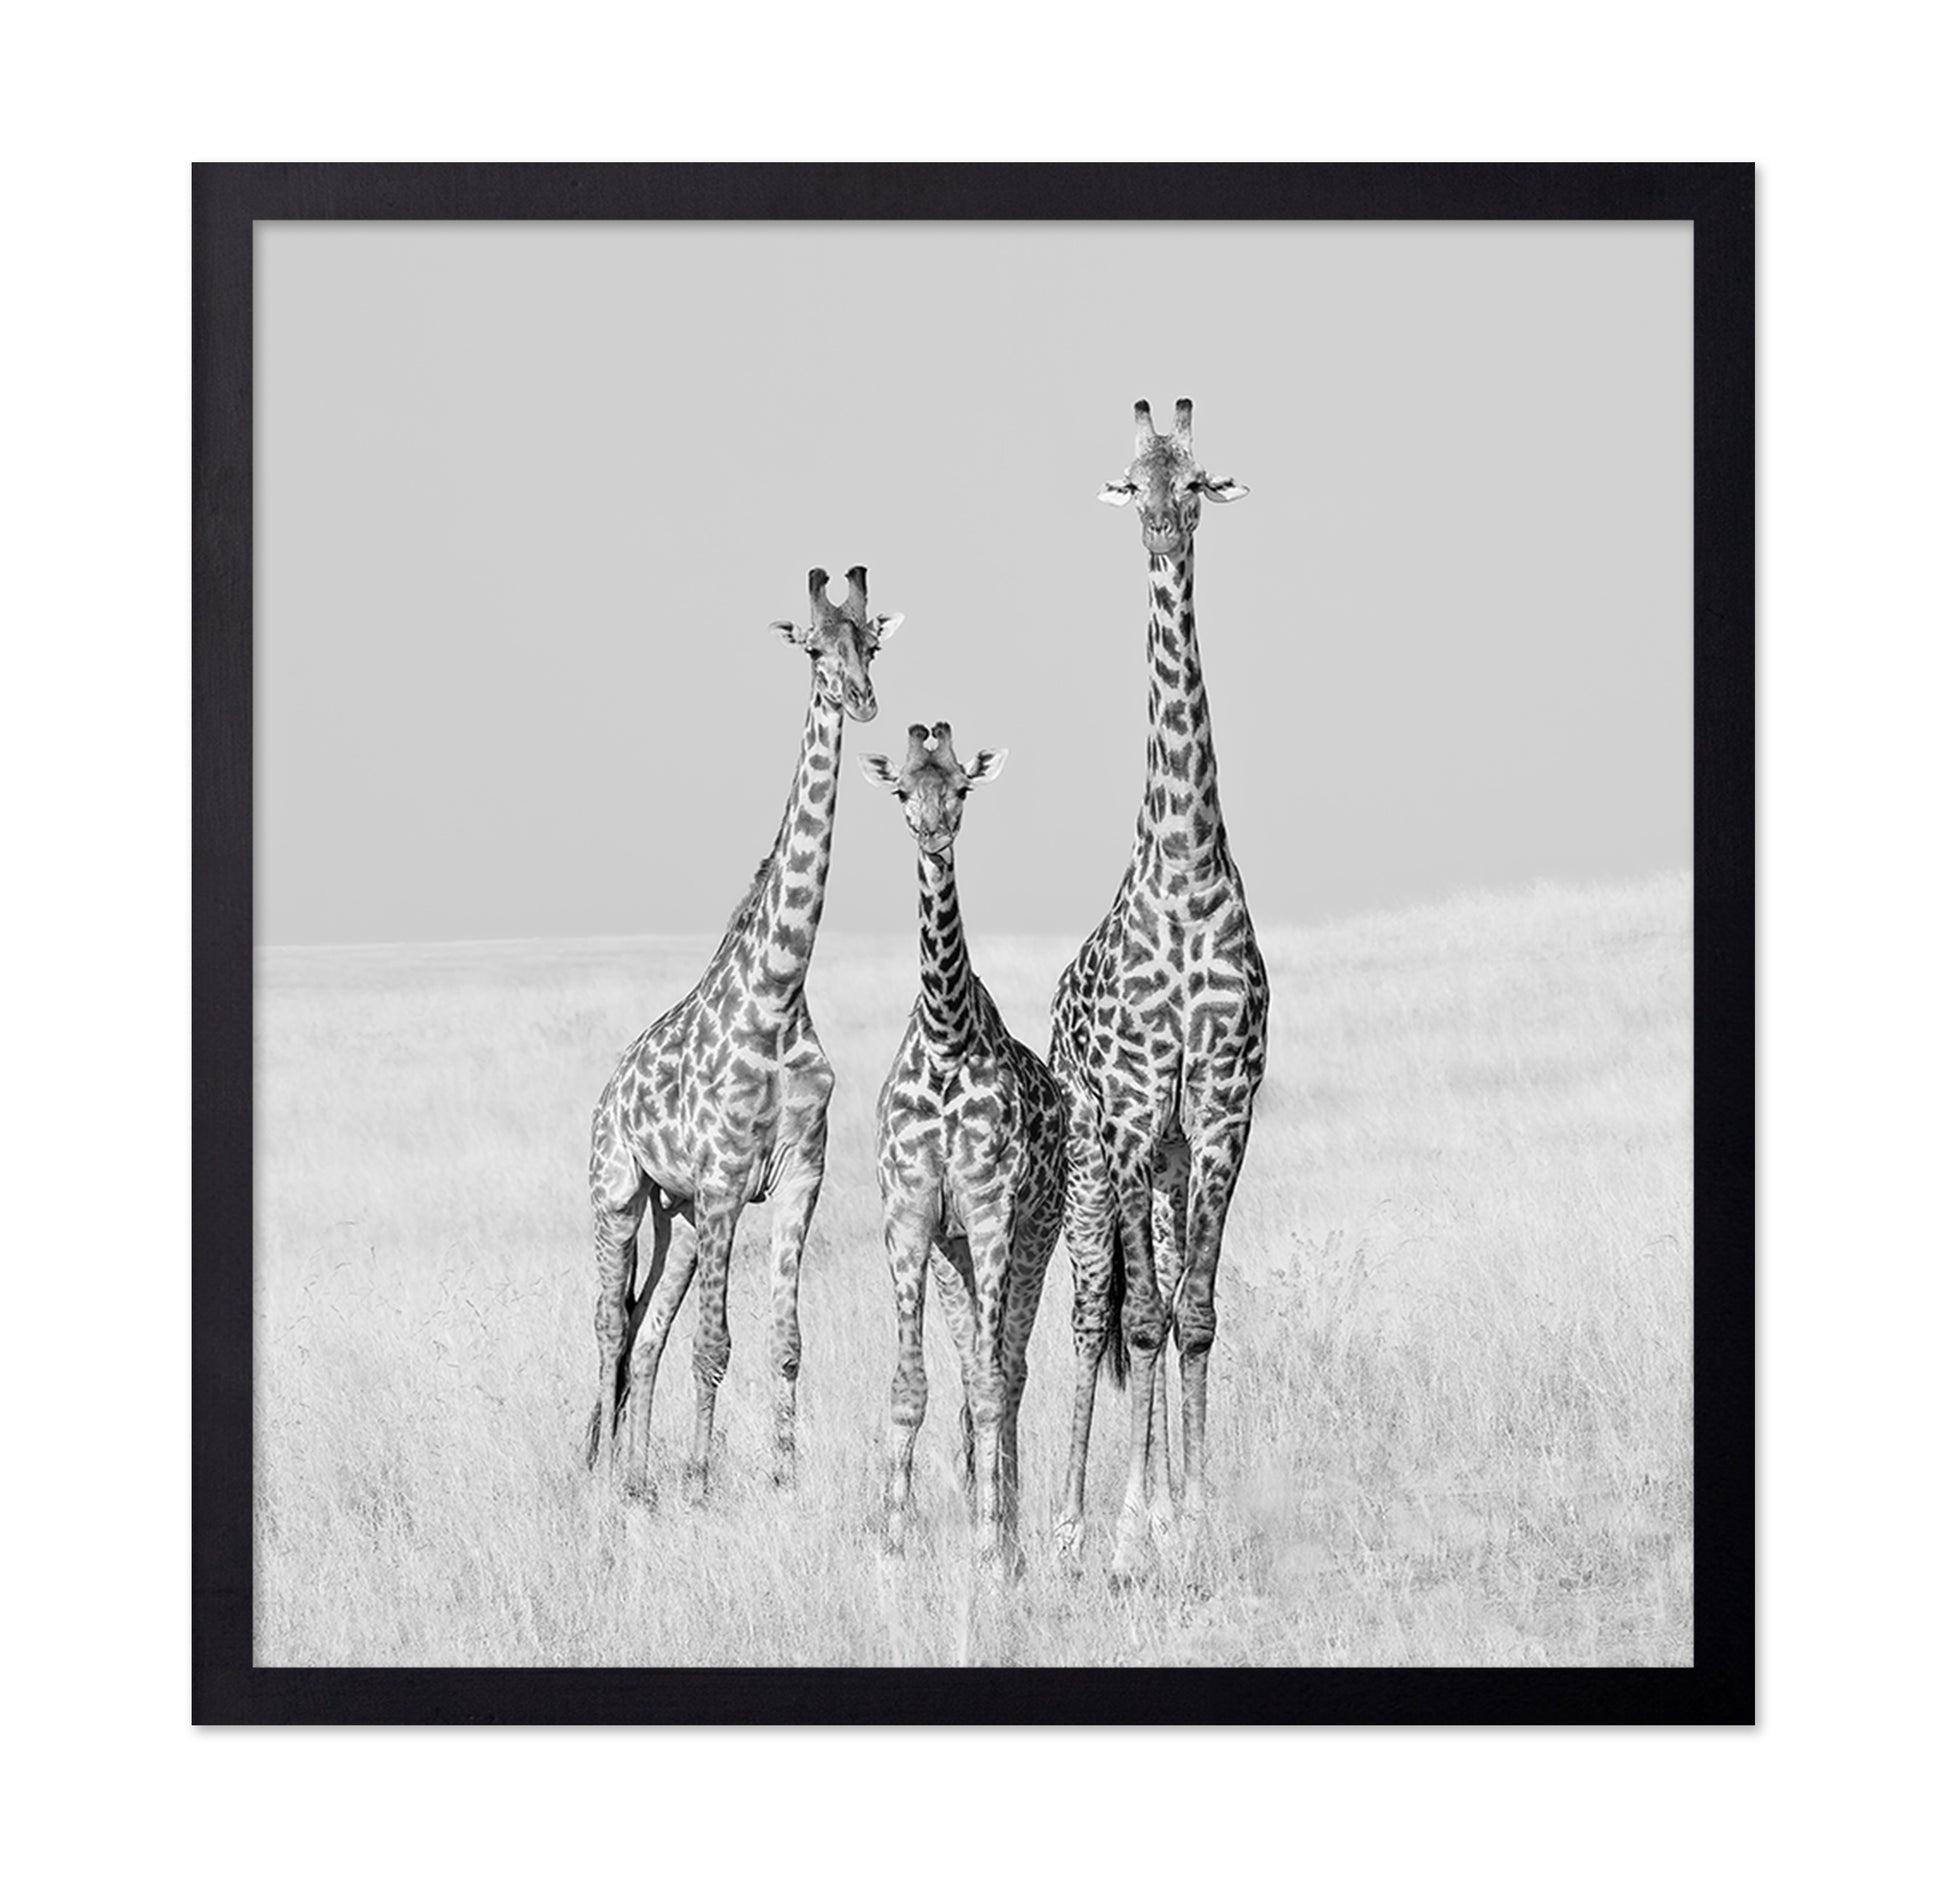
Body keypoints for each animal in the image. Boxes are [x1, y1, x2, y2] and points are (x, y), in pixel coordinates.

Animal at [584, 565, 902, 1500]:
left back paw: (636, 1478)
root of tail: (608, 1091)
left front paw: (782, 1478)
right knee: (610, 1328)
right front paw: (700, 1479)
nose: (862, 698)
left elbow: (784, 1342)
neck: (779, 991)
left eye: (872, 641)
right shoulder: (727, 1181)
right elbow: (715, 1342)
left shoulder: (798, 1175)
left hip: (679, 1215)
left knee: (645, 1330)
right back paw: (611, 1476)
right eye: (813, 646)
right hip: (620, 1193)